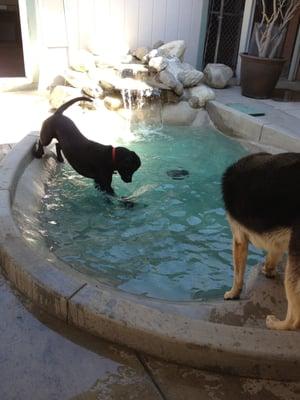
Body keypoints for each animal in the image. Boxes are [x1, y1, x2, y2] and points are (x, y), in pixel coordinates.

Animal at [221, 152, 300, 330]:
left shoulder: (239, 238)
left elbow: (237, 274)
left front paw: (233, 293)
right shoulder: (278, 243)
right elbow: (273, 255)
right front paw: (268, 270)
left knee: (294, 319)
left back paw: (276, 324)